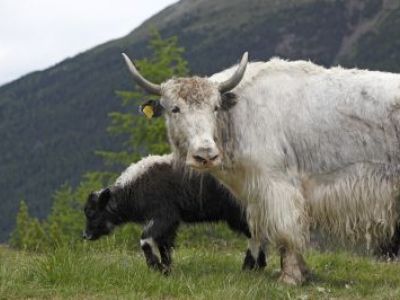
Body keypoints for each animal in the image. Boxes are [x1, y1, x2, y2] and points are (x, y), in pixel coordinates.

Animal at [83, 155, 268, 274]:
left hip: (242, 212)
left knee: (256, 234)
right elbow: (164, 244)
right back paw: (259, 266)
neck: (135, 188)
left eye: (92, 213)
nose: (85, 235)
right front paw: (166, 269)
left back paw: (249, 268)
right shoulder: (171, 222)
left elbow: (146, 239)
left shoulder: (164, 215)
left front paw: (156, 268)